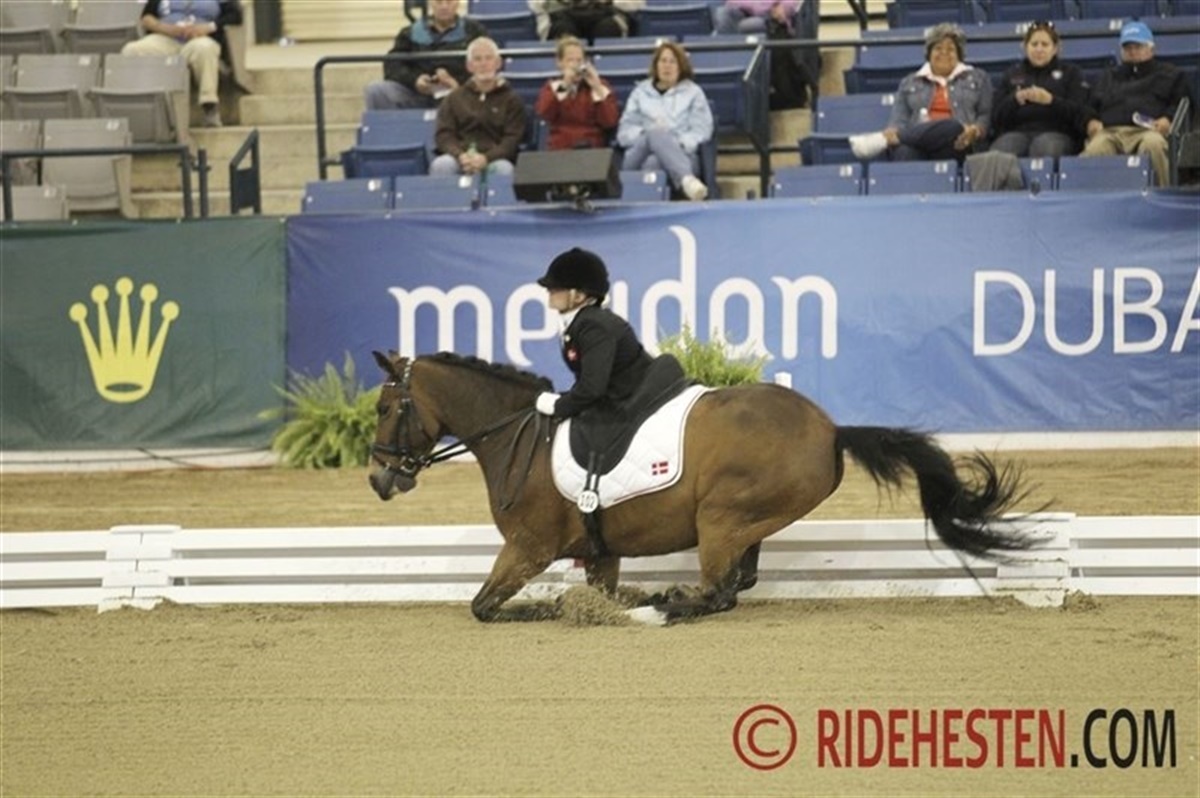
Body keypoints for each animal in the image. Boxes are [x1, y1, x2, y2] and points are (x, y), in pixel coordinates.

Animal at [368, 350, 1036, 624]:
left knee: (720, 594)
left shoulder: (528, 549)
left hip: (721, 517)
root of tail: (830, 428)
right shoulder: (599, 552)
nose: (378, 478)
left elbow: (483, 606)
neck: (514, 434)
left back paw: (664, 604)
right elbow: (594, 589)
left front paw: (550, 607)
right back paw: (661, 597)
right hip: (746, 524)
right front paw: (596, 603)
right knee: (738, 583)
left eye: (384, 408)